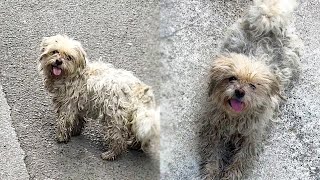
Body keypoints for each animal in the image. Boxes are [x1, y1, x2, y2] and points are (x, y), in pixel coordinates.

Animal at [201, 0, 302, 179]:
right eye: (232, 78)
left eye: (253, 86)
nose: (239, 92)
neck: (235, 118)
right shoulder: (214, 130)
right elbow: (213, 153)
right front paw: (212, 171)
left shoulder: (252, 138)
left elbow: (241, 159)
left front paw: (231, 174)